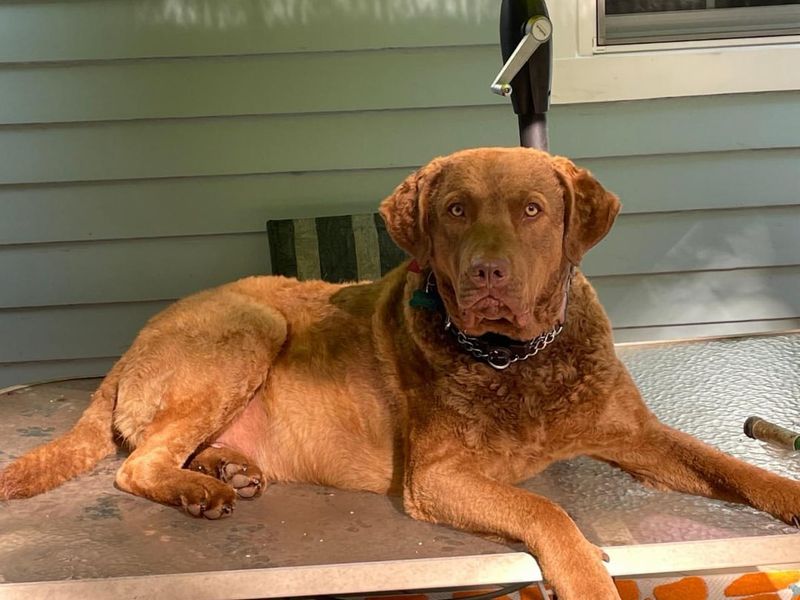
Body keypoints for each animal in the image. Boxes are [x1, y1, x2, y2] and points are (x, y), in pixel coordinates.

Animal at [1, 148, 800, 596]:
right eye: (455, 210)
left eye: (533, 210)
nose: (486, 273)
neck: (516, 357)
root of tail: (130, 349)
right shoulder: (438, 476)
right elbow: (547, 510)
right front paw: (587, 578)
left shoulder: (638, 434)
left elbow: (731, 466)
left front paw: (785, 494)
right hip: (250, 326)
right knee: (137, 465)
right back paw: (200, 489)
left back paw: (227, 467)